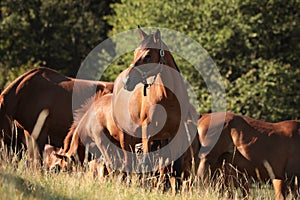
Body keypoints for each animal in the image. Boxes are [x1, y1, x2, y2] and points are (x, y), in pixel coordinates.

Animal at [111, 27, 198, 178]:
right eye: (135, 53)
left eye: (148, 55)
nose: (126, 81)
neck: (169, 97)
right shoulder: (147, 133)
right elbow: (146, 163)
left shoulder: (174, 135)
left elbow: (173, 168)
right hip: (126, 137)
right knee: (129, 164)